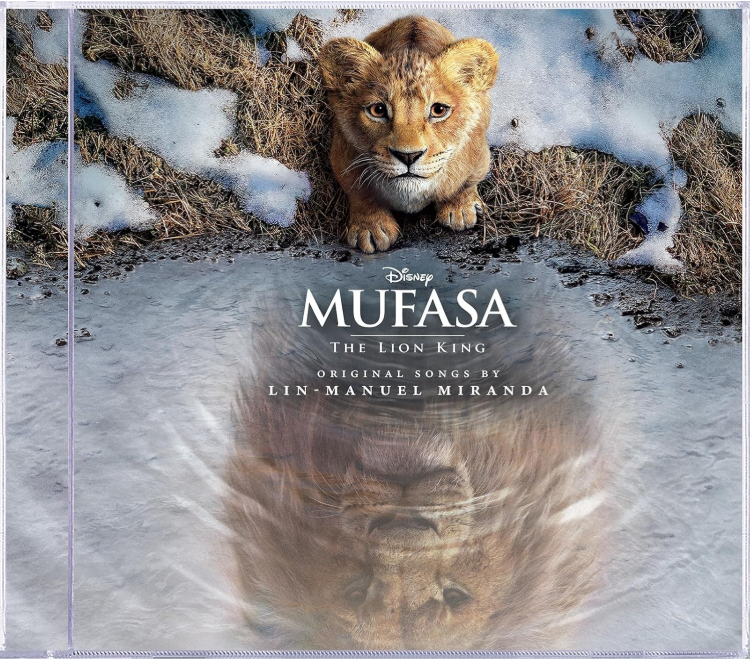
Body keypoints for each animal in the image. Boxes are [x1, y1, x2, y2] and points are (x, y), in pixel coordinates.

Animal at [319, 16, 499, 253]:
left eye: (438, 110)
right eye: (377, 110)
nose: (408, 156)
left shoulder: (479, 155)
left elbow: (466, 183)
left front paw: (460, 209)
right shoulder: (342, 155)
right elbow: (360, 192)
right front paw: (371, 228)